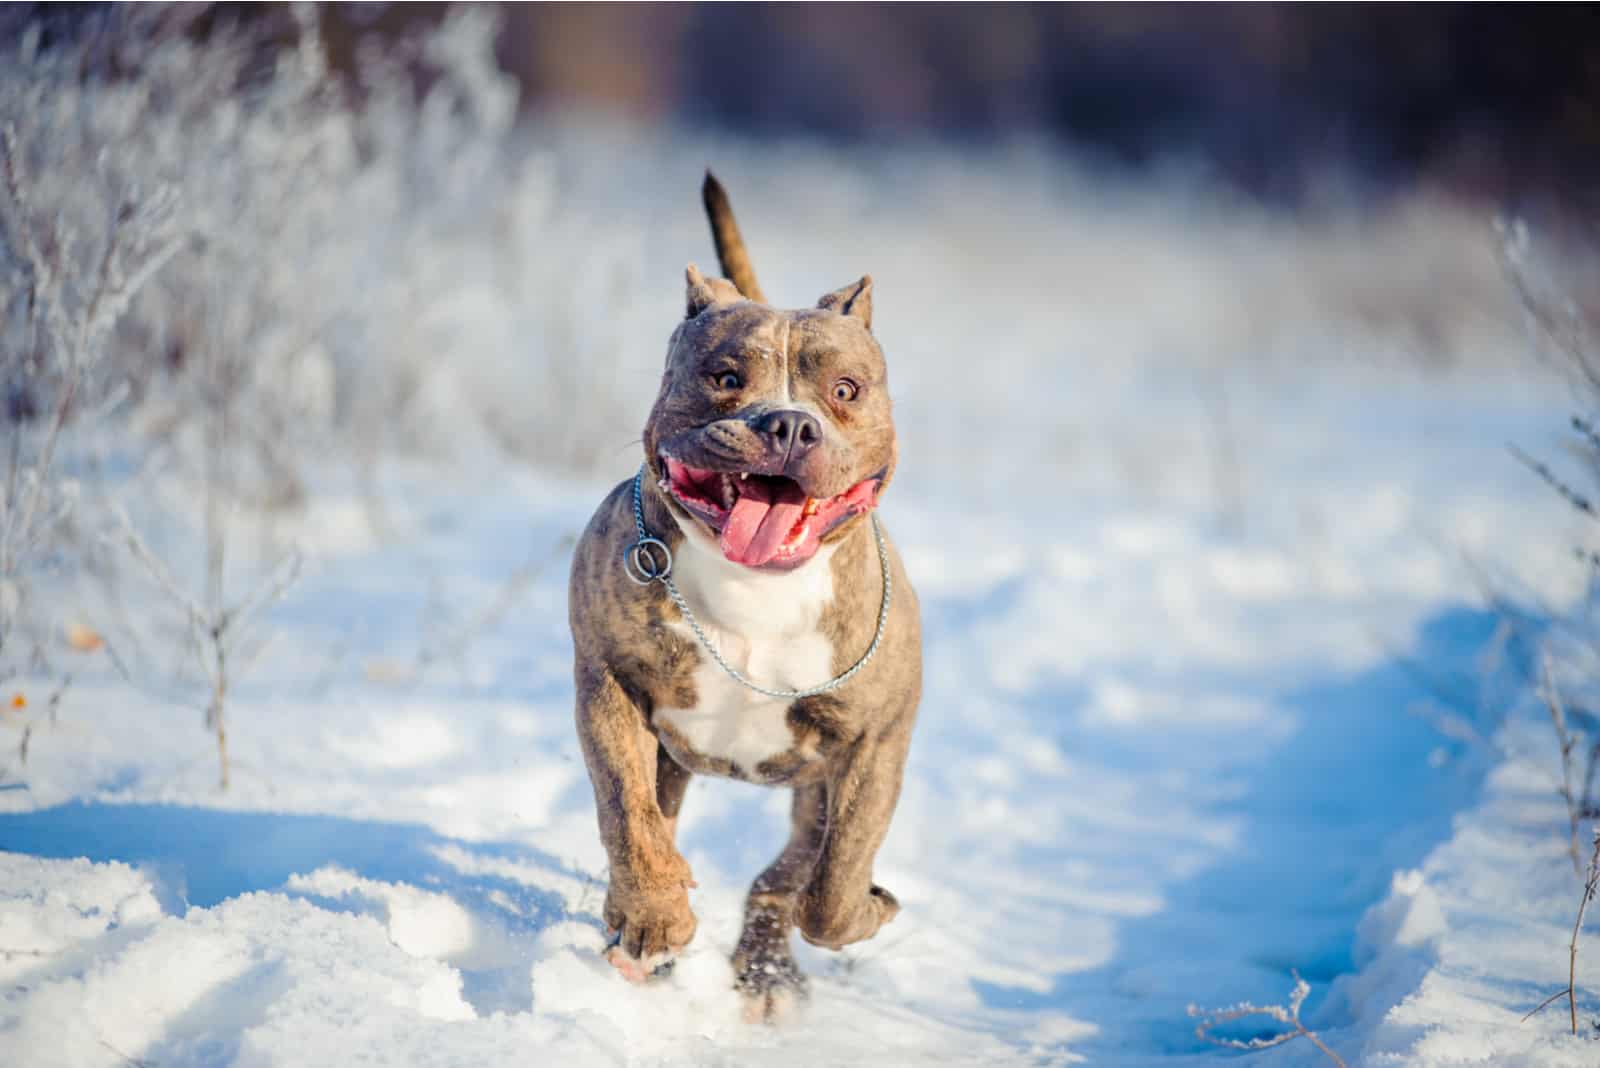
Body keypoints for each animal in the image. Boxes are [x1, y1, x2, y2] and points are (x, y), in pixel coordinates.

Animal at [569, 173, 928, 1016]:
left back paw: (766, 970)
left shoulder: (873, 745)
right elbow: (627, 814)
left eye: (845, 389)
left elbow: (830, 882)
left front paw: (863, 909)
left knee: (794, 871)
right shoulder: (607, 686)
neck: (759, 590)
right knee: (654, 820)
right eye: (726, 378)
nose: (790, 424)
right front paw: (652, 916)